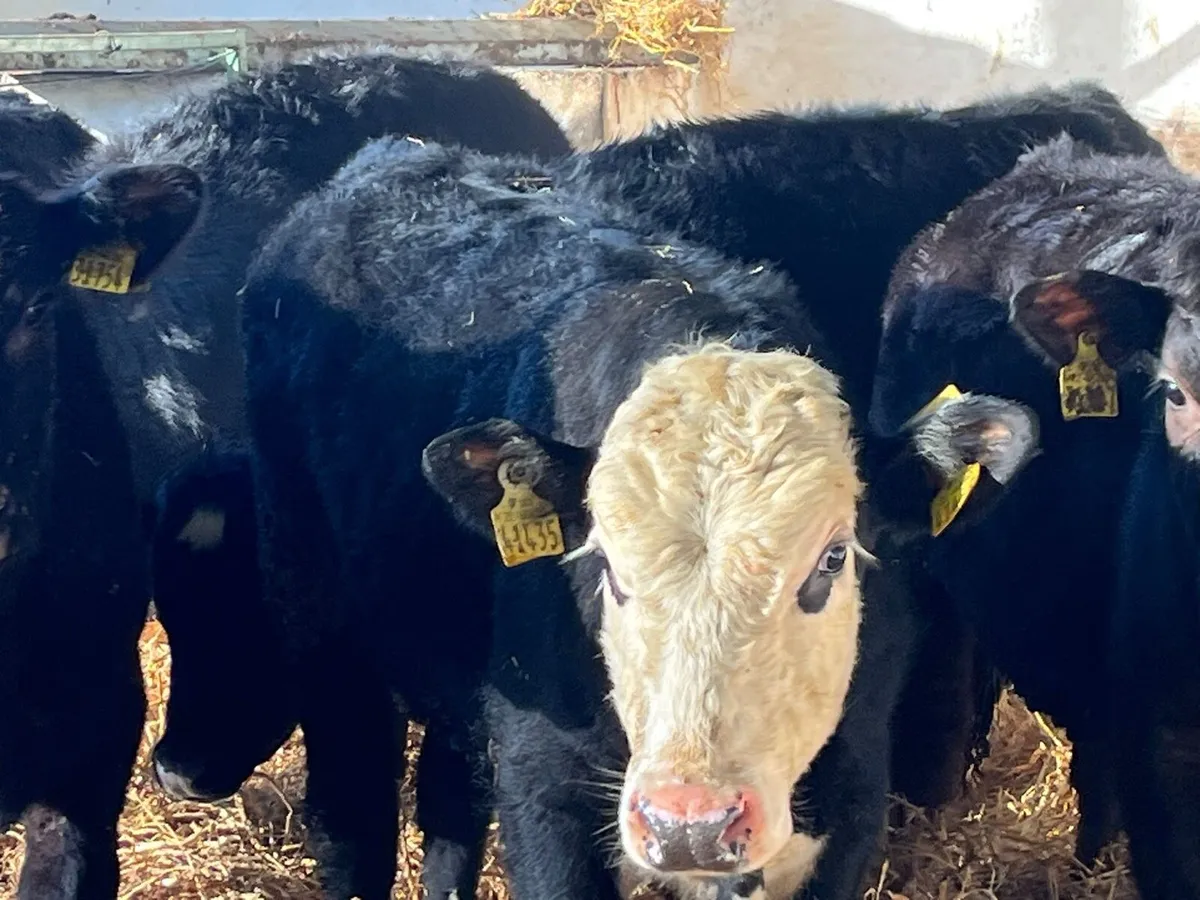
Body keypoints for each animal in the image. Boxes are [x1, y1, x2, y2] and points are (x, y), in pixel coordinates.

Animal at [234, 134, 1039, 900]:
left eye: (832, 560)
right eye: (606, 567)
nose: (693, 825)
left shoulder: (851, 800)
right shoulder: (544, 793)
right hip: (317, 618)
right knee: (353, 809)